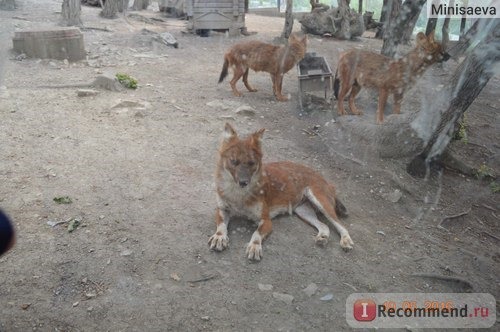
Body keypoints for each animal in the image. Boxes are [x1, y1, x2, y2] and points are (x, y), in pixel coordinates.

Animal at [209, 123, 354, 260]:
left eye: (251, 163)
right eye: (234, 161)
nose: (243, 182)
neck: (237, 194)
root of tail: (326, 180)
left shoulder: (266, 220)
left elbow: (256, 234)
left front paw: (254, 247)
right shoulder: (222, 209)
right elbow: (221, 225)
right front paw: (219, 237)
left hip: (320, 201)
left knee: (340, 225)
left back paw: (346, 241)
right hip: (303, 210)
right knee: (324, 226)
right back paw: (323, 238)